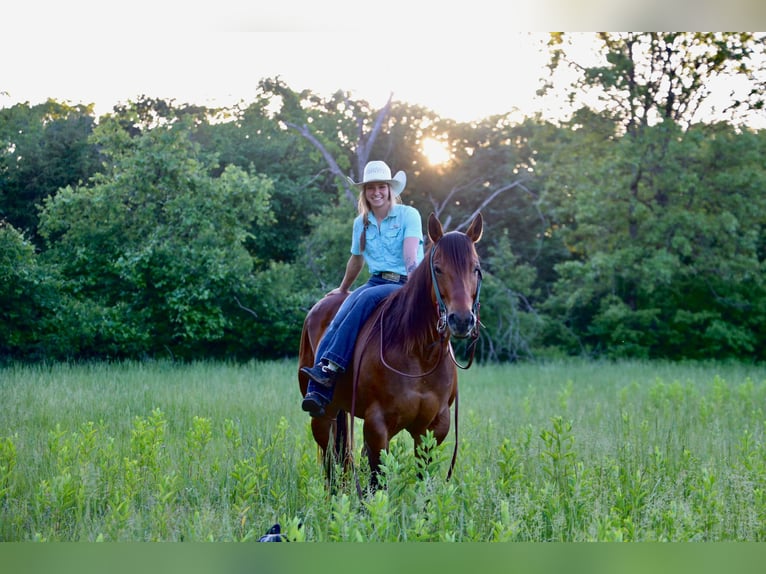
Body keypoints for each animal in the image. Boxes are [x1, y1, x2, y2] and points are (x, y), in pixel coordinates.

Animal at [296, 214, 484, 492]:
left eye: (476, 269)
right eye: (438, 268)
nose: (461, 320)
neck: (420, 355)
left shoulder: (434, 428)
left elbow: (423, 484)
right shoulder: (377, 426)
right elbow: (377, 485)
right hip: (324, 417)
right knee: (332, 467)